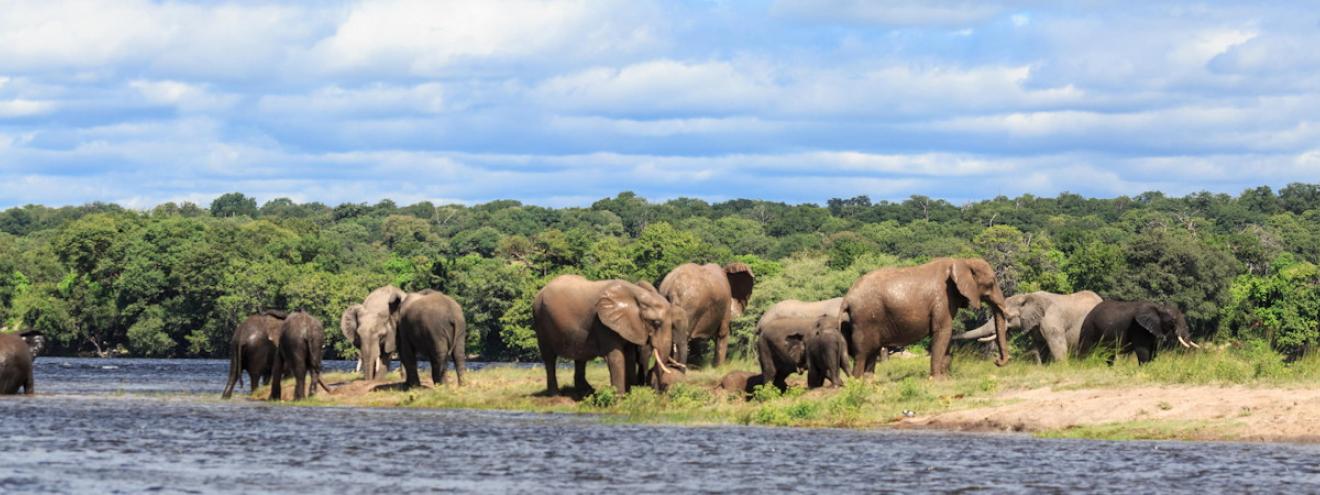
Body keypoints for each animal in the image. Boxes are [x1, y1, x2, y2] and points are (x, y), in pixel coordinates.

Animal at [533, 275, 686, 396]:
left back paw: (586, 392)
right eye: (656, 323)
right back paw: (555, 395)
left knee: (580, 357)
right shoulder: (603, 323)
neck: (637, 295)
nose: (659, 390)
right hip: (540, 320)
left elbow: (629, 356)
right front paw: (619, 398)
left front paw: (628, 395)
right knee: (549, 358)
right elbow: (616, 357)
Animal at [839, 257, 1010, 379]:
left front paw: (945, 377)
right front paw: (938, 379)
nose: (996, 361)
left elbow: (946, 335)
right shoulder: (942, 298)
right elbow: (943, 331)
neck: (963, 261)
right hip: (865, 319)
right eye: (992, 282)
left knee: (872, 351)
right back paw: (858, 383)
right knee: (863, 352)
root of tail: (847, 297)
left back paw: (868, 382)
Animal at [954, 291, 1103, 363]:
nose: (996, 361)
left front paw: (1061, 367)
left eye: (1007, 316)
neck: (1026, 297)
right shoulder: (1035, 324)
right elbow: (1040, 345)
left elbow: (1057, 344)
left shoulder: (1051, 319)